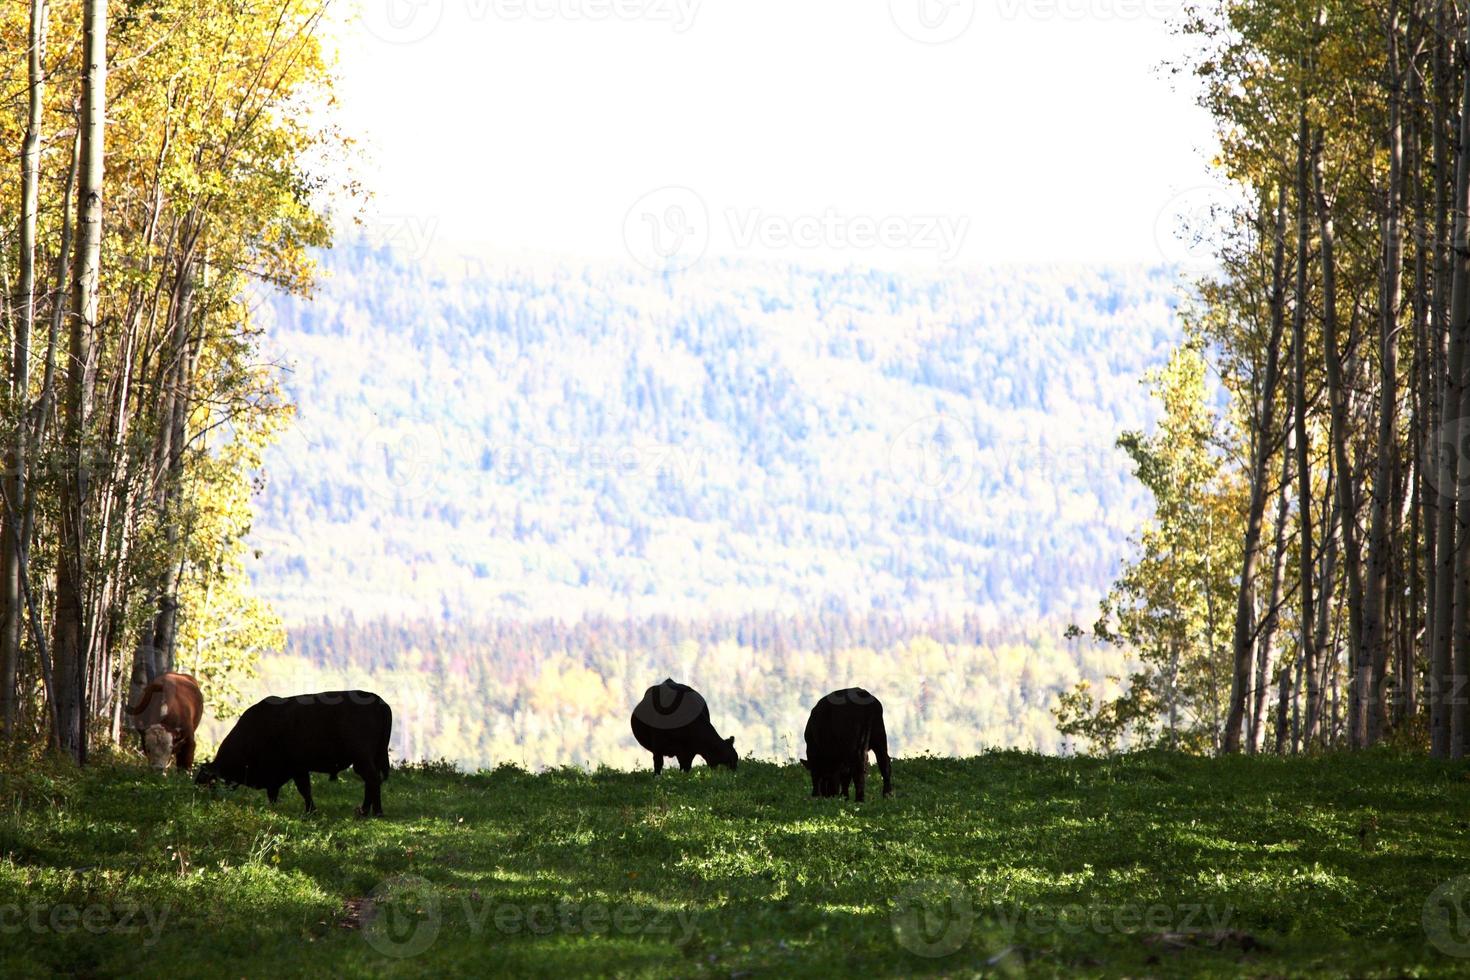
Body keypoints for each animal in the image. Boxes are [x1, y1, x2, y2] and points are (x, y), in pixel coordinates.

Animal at [195, 690, 391, 822]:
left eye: (206, 782)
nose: (199, 802)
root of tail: (379, 701)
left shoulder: (297, 768)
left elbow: (304, 790)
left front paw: (310, 811)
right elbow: (275, 792)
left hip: (361, 759)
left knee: (372, 779)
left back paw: (370, 812)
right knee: (372, 781)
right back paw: (371, 811)